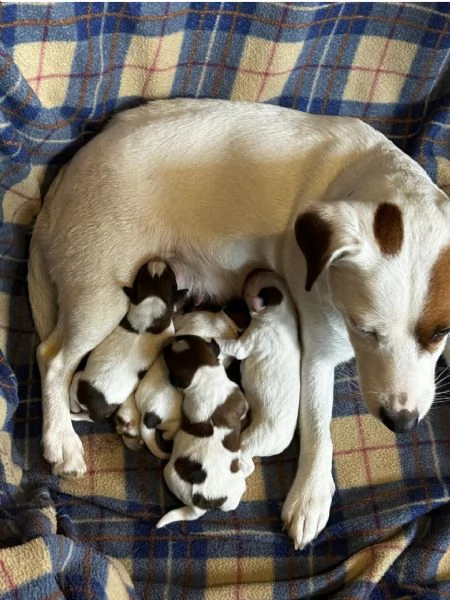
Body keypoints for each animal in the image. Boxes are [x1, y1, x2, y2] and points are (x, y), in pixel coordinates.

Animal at [67, 258, 186, 422]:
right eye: (173, 277)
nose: (157, 260)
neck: (153, 301)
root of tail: (92, 408)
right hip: (80, 379)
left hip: (80, 381)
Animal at [156, 336, 251, 528]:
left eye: (186, 337)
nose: (168, 341)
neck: (207, 377)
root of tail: (199, 505)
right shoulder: (240, 398)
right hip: (237, 486)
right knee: (233, 503)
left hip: (170, 474)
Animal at [220, 270, 300, 462]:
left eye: (247, 288)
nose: (253, 269)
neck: (281, 310)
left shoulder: (250, 339)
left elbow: (233, 347)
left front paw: (215, 341)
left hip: (253, 437)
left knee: (245, 456)